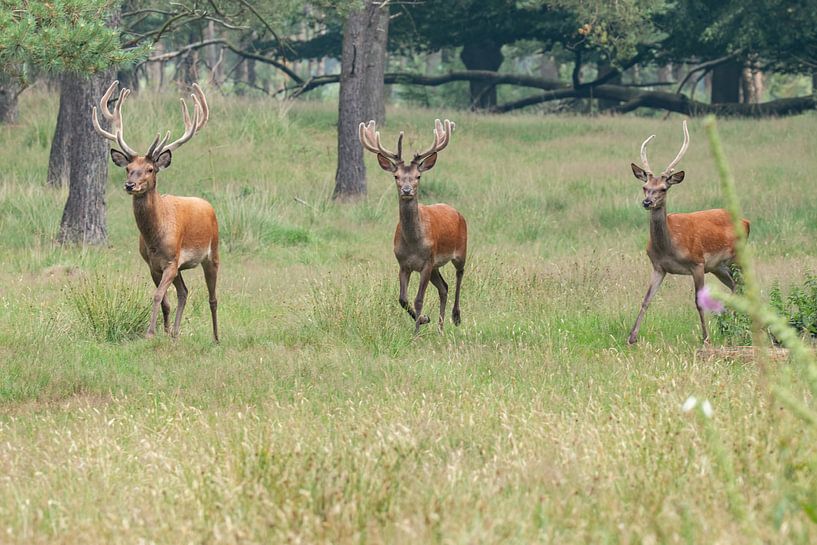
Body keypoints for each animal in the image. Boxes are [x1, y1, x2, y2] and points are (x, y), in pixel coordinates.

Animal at [91, 81, 220, 342]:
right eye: (128, 168)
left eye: (150, 169)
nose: (130, 185)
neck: (155, 238)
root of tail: (208, 206)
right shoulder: (153, 264)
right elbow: (165, 301)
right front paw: (165, 331)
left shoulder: (171, 260)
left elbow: (157, 296)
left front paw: (150, 333)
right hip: (180, 267)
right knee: (184, 292)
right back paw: (176, 334)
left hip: (213, 252)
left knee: (213, 298)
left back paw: (215, 337)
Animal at [359, 119, 467, 335]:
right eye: (396, 176)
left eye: (418, 176)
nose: (407, 190)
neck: (413, 244)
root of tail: (457, 212)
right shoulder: (403, 264)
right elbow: (403, 299)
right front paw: (424, 319)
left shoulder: (426, 262)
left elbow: (418, 299)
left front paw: (416, 332)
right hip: (435, 266)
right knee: (444, 287)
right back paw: (440, 328)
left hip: (460, 251)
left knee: (459, 276)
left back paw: (456, 316)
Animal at [627, 120, 750, 345]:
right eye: (645, 186)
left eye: (664, 188)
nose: (647, 202)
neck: (669, 247)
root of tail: (746, 221)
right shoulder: (658, 267)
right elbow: (646, 299)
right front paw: (632, 337)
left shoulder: (697, 263)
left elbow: (698, 302)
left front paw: (706, 338)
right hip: (719, 267)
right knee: (735, 287)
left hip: (737, 257)